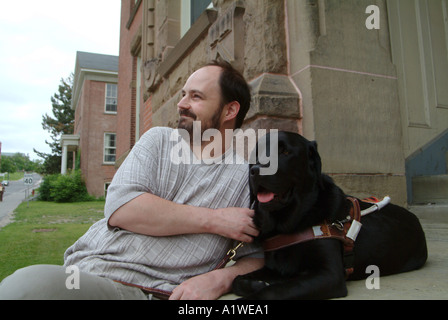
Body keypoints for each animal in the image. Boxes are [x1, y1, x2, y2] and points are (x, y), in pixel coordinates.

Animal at [233, 131, 428, 300]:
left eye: (285, 152)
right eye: (256, 155)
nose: (255, 170)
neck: (289, 224)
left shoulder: (329, 275)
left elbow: (274, 291)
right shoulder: (275, 266)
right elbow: (237, 279)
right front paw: (258, 283)